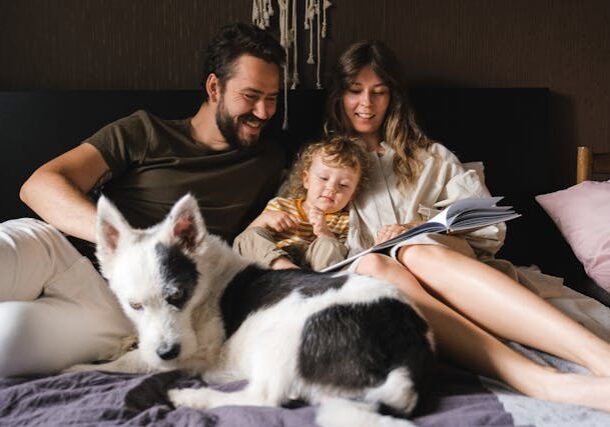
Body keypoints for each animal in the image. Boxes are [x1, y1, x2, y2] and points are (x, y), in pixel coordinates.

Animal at [82, 196, 432, 426]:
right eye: (134, 305)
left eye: (177, 295)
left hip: (280, 337)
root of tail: (407, 345)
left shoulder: (196, 351)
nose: (167, 352)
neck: (206, 282)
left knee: (263, 397)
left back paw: (192, 398)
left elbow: (130, 362)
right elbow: (134, 349)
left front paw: (81, 366)